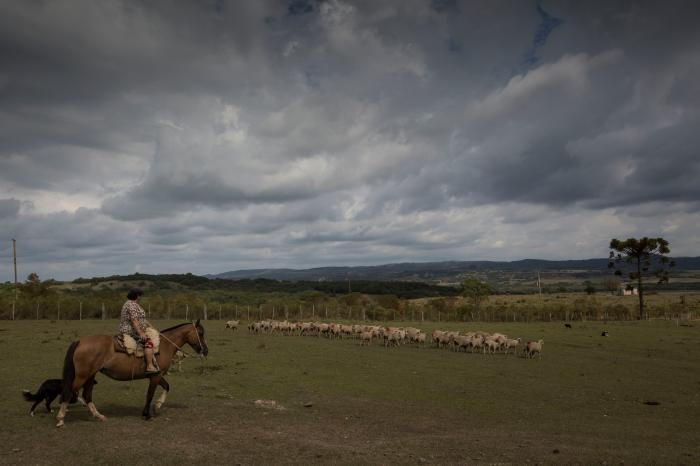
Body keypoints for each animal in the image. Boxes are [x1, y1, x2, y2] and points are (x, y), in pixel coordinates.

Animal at [55, 320, 208, 426]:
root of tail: (80, 341)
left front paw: (158, 406)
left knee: (87, 395)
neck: (164, 346)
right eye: (200, 333)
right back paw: (61, 419)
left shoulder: (157, 375)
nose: (205, 351)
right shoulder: (155, 376)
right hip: (83, 376)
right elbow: (149, 395)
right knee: (69, 392)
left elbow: (167, 387)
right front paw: (147, 414)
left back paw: (99, 416)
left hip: (90, 375)